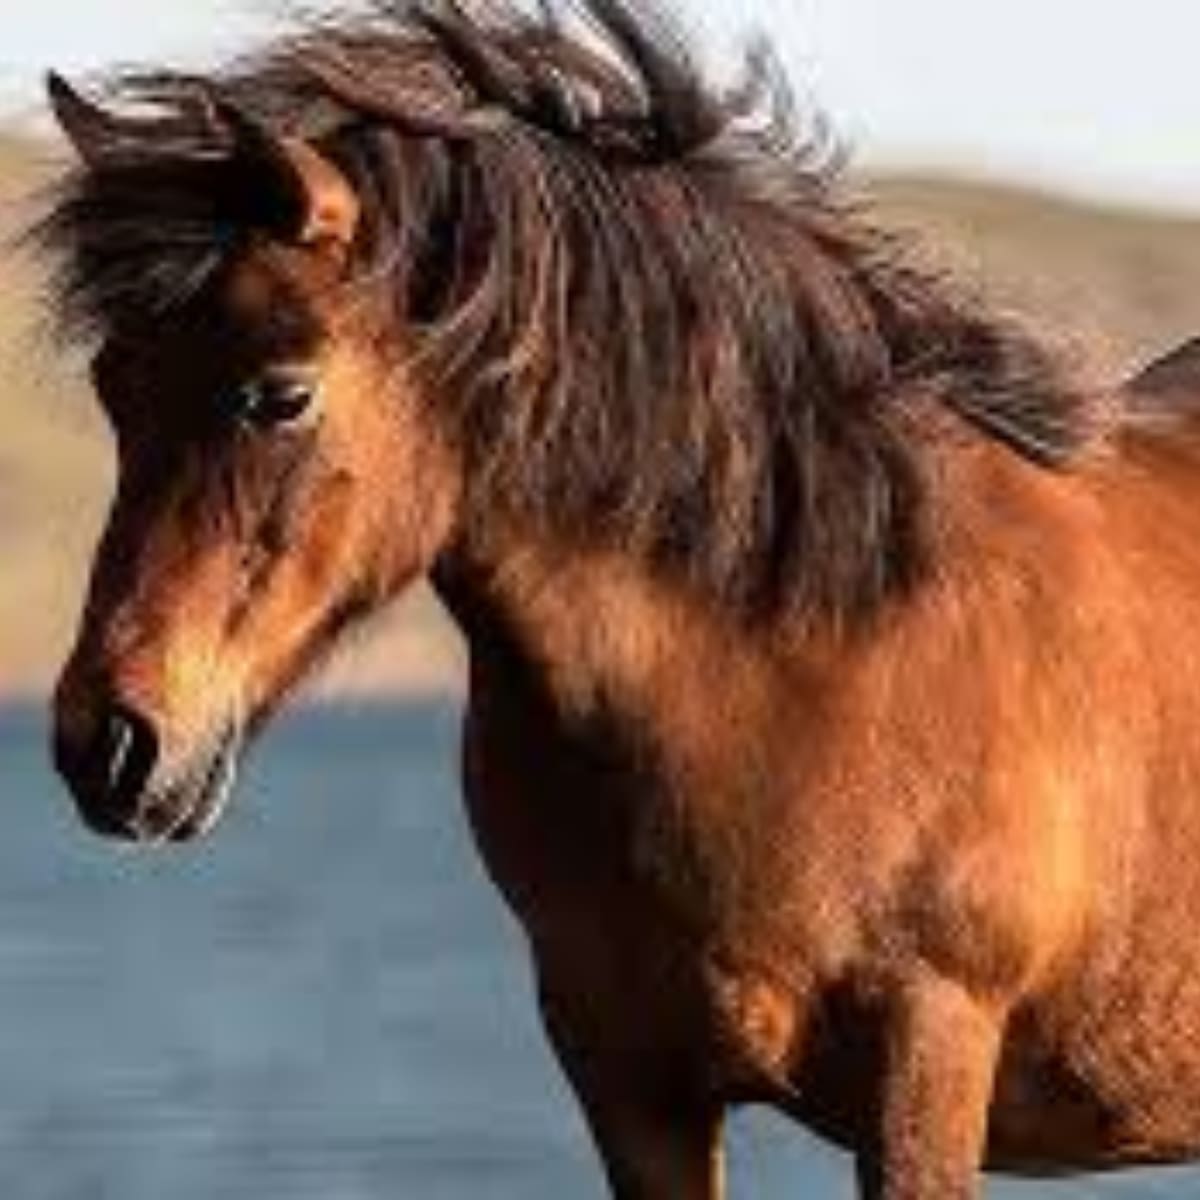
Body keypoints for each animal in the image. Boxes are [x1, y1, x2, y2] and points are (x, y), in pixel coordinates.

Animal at [37, 2, 1200, 1196]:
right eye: (114, 385)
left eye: (280, 395)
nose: (109, 743)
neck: (805, 650)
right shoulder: (629, 1079)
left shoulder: (928, 1055)